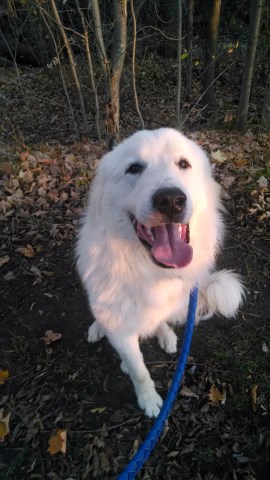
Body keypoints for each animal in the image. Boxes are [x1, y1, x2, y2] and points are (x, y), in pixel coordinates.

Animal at [76, 127, 245, 416]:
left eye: (183, 164)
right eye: (134, 168)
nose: (170, 200)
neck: (150, 273)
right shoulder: (120, 329)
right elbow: (139, 370)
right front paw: (149, 400)